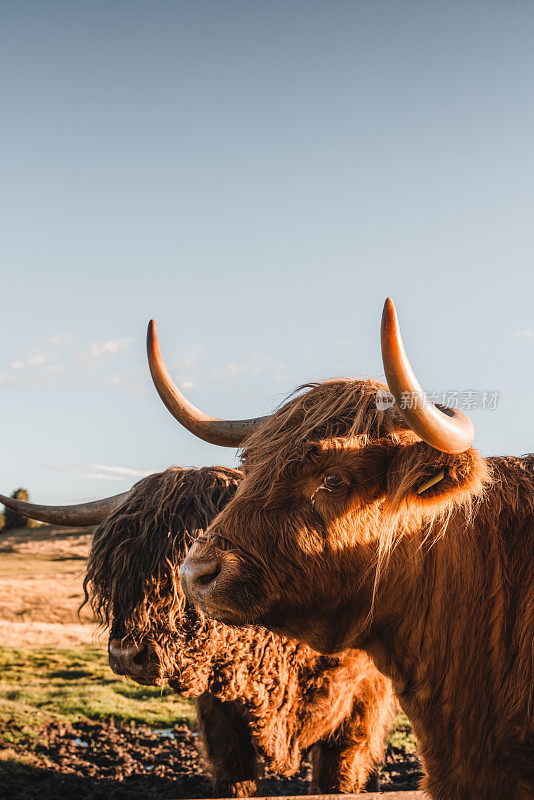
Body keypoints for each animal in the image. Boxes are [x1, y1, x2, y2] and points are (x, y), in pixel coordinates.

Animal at [2, 462, 396, 792]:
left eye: (183, 567)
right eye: (114, 570)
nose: (126, 655)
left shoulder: (360, 709)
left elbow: (337, 778)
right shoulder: (219, 715)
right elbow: (233, 775)